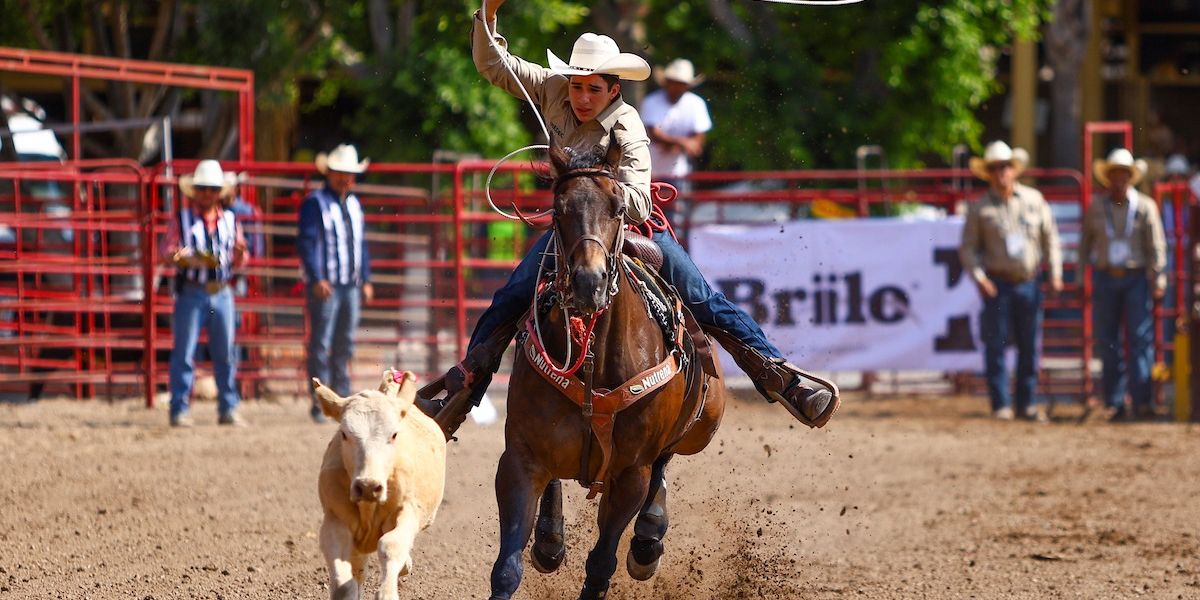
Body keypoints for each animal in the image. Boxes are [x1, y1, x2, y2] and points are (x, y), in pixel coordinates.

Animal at [484, 146, 724, 600]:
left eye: (618, 208)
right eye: (558, 210)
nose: (588, 283)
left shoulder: (630, 474)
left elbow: (600, 563)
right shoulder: (520, 459)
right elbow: (507, 567)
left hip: (700, 427)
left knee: (663, 464)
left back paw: (648, 540)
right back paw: (550, 540)